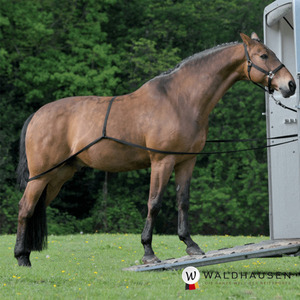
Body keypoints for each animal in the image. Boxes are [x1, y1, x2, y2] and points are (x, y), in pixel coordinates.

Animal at [14, 33, 296, 268]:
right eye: (263, 55)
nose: (290, 85)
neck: (179, 100)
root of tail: (37, 115)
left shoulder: (186, 162)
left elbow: (183, 201)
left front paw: (190, 244)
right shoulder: (162, 161)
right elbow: (154, 203)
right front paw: (148, 252)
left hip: (58, 176)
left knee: (35, 207)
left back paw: (26, 254)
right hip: (41, 176)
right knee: (25, 208)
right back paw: (21, 258)